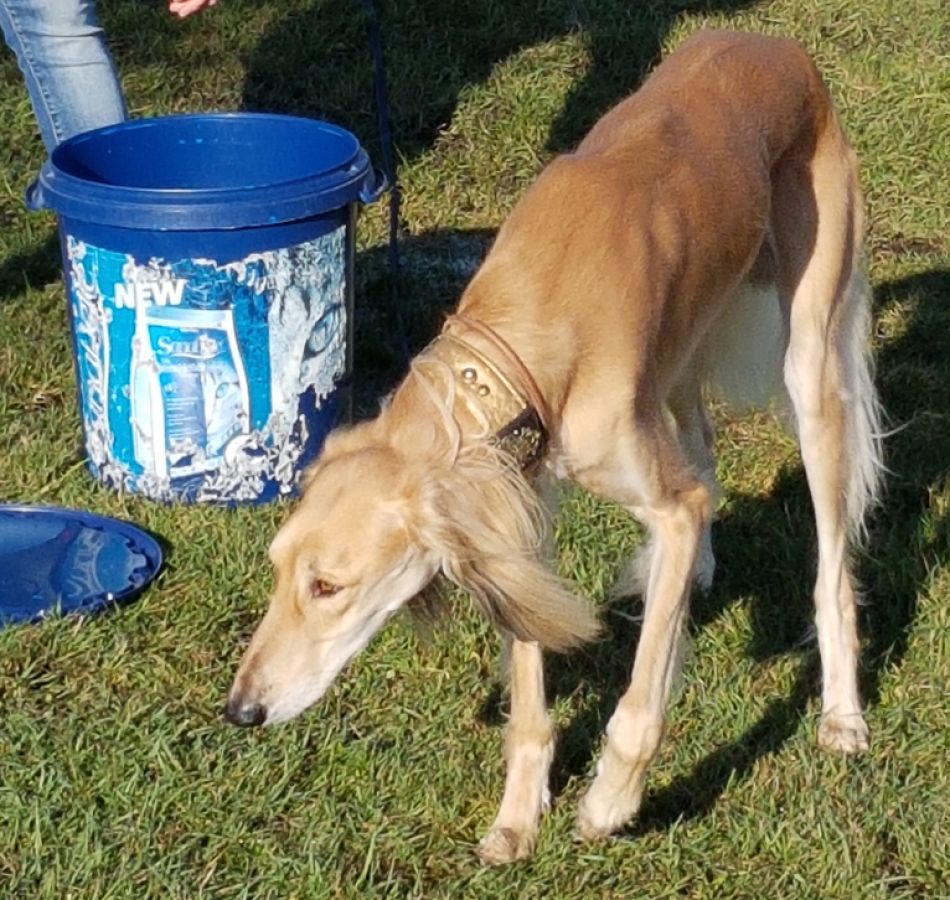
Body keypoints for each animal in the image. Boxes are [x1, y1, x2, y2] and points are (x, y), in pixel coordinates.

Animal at [225, 29, 883, 863]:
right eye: (279, 570)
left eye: (328, 587)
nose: (241, 710)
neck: (525, 327)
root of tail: (774, 44)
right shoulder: (516, 510)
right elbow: (533, 693)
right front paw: (519, 816)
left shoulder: (652, 501)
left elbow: (640, 696)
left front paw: (610, 801)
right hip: (679, 356)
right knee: (702, 455)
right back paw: (693, 573)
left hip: (812, 363)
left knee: (828, 568)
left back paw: (841, 713)